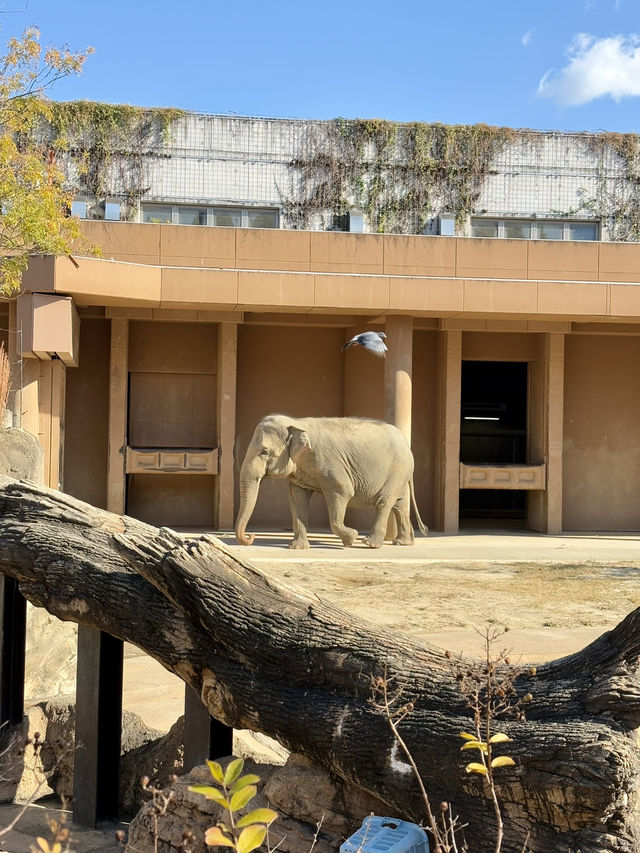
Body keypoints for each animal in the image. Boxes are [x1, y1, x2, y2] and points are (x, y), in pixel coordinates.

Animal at [232, 414, 428, 548]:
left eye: (265, 452)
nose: (251, 536)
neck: (297, 423)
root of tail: (406, 444)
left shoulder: (332, 465)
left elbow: (343, 491)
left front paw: (351, 538)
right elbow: (297, 498)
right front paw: (297, 548)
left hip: (397, 469)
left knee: (384, 502)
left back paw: (369, 543)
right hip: (400, 474)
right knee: (400, 505)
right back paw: (402, 542)